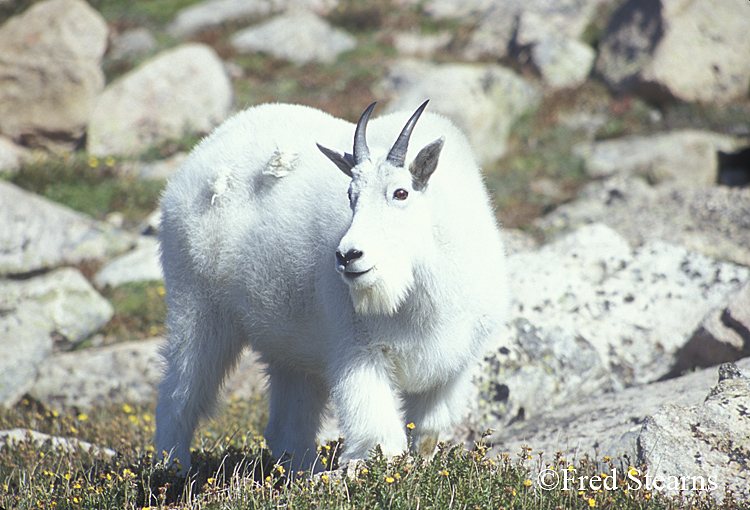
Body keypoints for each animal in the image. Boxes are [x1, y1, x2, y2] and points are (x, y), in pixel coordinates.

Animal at [158, 99, 512, 474]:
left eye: (400, 193)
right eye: (350, 195)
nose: (348, 255)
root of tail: (195, 160)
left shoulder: (451, 369)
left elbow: (427, 437)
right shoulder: (359, 351)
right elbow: (383, 439)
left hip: (288, 348)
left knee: (287, 425)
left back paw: (304, 474)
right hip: (196, 306)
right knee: (179, 393)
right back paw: (172, 469)